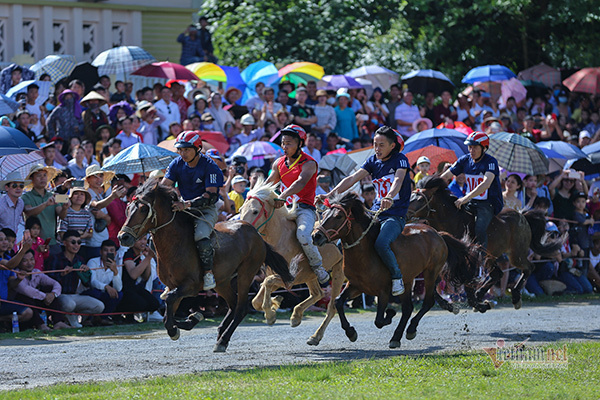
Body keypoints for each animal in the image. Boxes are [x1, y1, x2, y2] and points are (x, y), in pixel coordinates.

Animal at [118, 180, 292, 352]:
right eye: (128, 208)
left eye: (143, 209)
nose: (123, 237)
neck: (176, 244)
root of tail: (256, 234)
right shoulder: (174, 286)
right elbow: (168, 310)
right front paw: (191, 319)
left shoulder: (190, 286)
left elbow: (169, 301)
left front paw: (178, 327)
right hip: (222, 282)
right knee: (233, 303)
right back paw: (220, 331)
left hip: (246, 274)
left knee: (241, 308)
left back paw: (223, 340)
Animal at [237, 180, 344, 346]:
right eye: (241, 209)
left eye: (255, 211)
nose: (242, 228)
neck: (281, 238)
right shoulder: (279, 276)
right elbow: (256, 300)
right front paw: (275, 304)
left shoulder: (292, 278)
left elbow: (267, 283)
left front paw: (270, 314)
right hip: (311, 277)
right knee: (318, 294)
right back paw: (296, 317)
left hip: (339, 273)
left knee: (331, 308)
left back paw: (315, 336)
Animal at [312, 192, 480, 348]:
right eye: (324, 215)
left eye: (339, 216)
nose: (316, 236)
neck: (365, 253)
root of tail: (437, 233)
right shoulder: (356, 286)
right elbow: (338, 302)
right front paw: (350, 332)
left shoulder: (384, 291)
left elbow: (379, 320)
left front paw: (390, 313)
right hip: (408, 280)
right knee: (408, 308)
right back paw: (397, 337)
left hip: (430, 273)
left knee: (427, 302)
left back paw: (410, 329)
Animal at [408, 176, 564, 310]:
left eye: (420, 199)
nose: (406, 213)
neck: (452, 221)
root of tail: (522, 215)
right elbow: (433, 286)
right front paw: (450, 305)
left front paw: (475, 304)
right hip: (492, 256)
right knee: (498, 274)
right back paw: (482, 295)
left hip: (516, 255)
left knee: (529, 268)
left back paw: (514, 297)